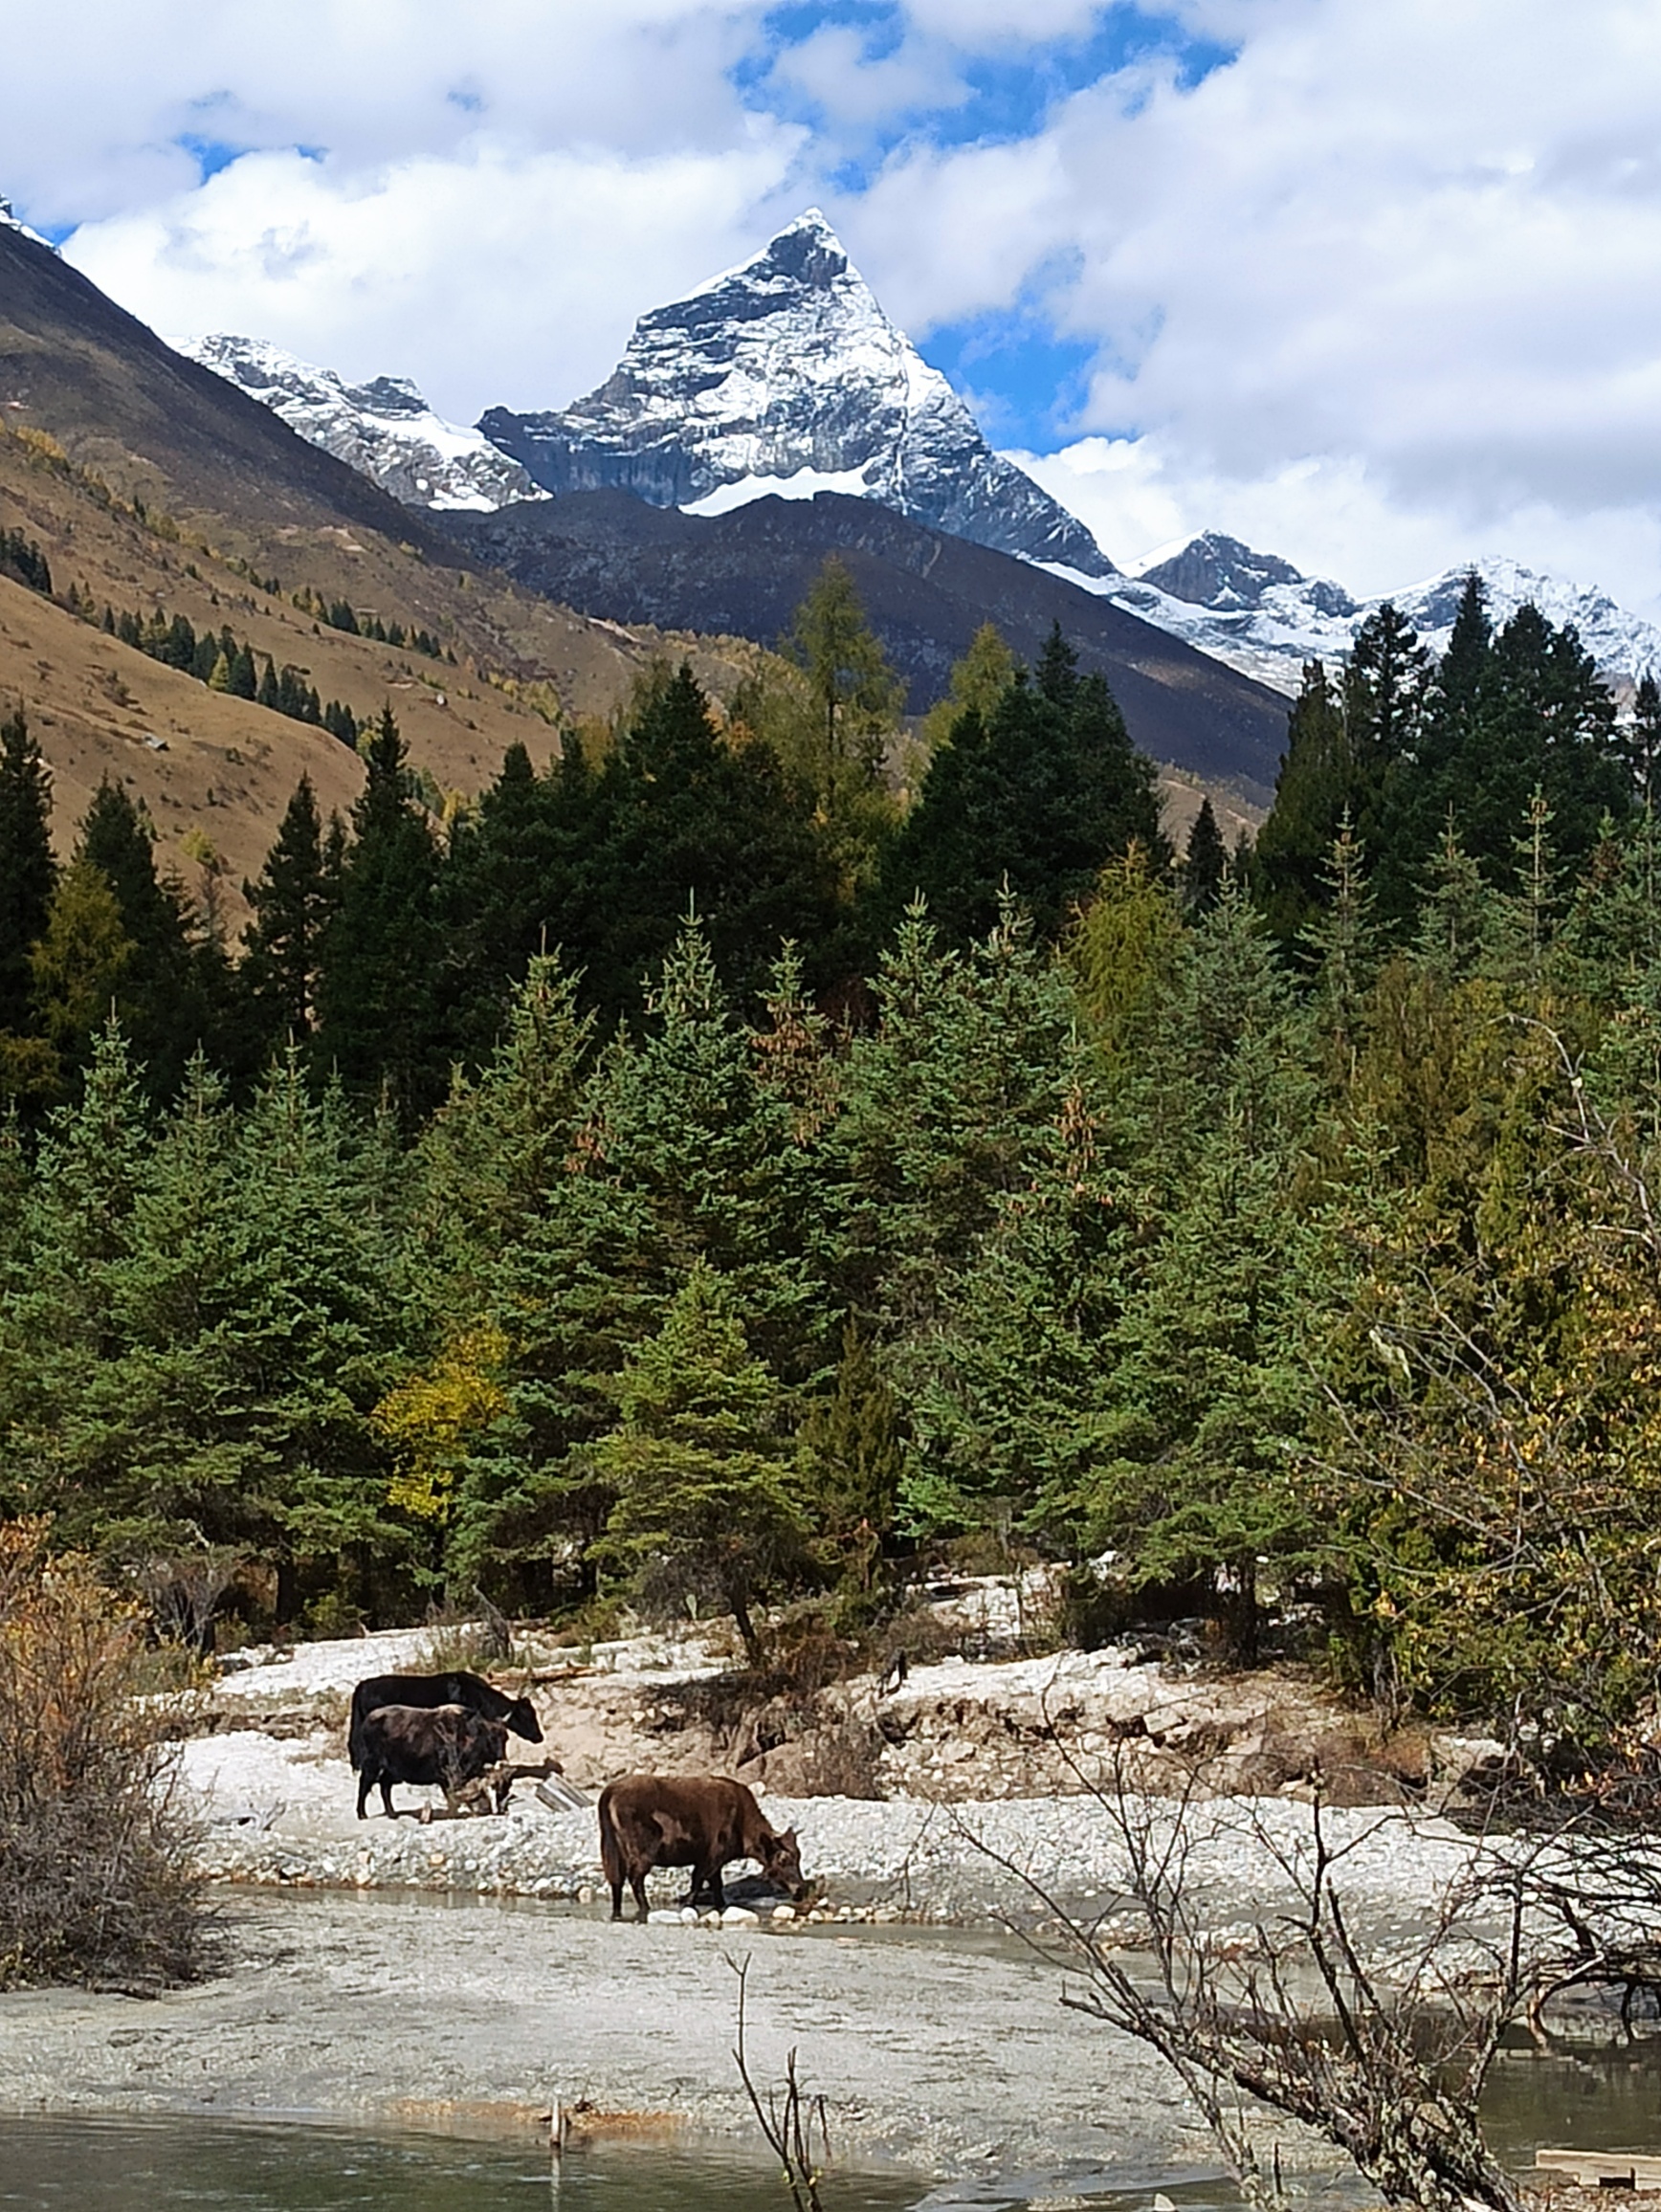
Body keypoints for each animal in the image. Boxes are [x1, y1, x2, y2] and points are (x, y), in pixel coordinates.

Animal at [351, 1698, 506, 1823]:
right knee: (365, 1785)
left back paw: (392, 1813)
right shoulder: (450, 1777)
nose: (502, 1757)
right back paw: (362, 1814)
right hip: (372, 1765)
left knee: (384, 1786)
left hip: (391, 1771)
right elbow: (452, 1797)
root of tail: (368, 1719)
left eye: (505, 1738)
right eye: (491, 1738)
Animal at [601, 1778, 809, 1919]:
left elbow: (716, 1886)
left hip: (616, 1850)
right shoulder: (709, 1859)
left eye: (798, 1857)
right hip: (643, 1854)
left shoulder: (715, 1863)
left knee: (617, 1879)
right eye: (783, 1859)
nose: (800, 1889)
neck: (741, 1818)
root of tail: (611, 1790)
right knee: (635, 1878)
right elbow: (698, 1883)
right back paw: (646, 1908)